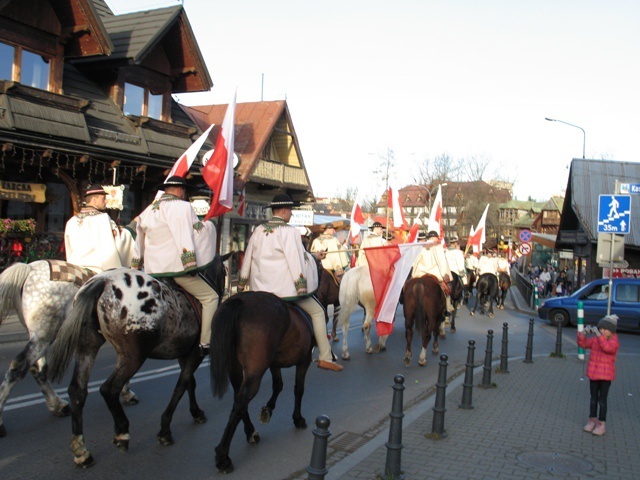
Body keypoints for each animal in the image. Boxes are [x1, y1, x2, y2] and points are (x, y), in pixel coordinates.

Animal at [0, 260, 139, 436]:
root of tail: (29, 268)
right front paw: (127, 393)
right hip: (44, 334)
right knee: (20, 366)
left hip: (39, 336)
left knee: (37, 368)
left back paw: (58, 406)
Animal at [48, 253, 228, 466]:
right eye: (225, 271)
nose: (224, 293)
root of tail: (102, 281)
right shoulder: (194, 354)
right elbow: (181, 386)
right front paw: (165, 430)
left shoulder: (184, 354)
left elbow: (189, 384)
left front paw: (196, 412)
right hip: (133, 357)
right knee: (109, 389)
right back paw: (121, 432)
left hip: (88, 347)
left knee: (77, 391)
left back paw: (81, 451)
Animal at [211, 290, 314, 474]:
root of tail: (240, 300)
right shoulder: (305, 360)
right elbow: (299, 389)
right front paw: (297, 419)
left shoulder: (274, 364)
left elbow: (278, 385)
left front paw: (268, 409)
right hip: (255, 372)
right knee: (241, 401)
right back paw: (223, 456)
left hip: (236, 368)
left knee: (239, 399)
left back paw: (250, 433)